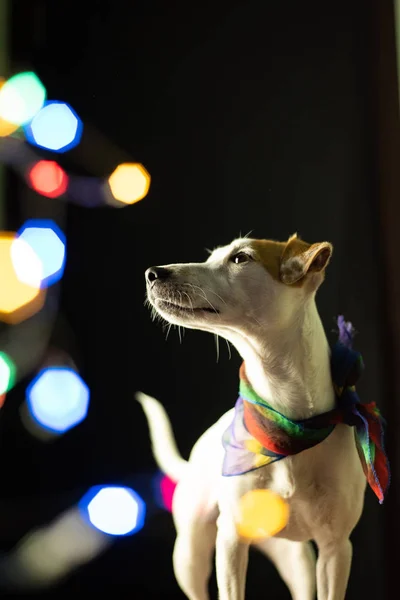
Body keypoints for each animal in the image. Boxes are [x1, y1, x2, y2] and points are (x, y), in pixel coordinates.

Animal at [136, 234, 390, 600]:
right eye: (213, 257)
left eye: (240, 258)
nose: (152, 273)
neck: (287, 419)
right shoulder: (230, 540)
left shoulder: (335, 549)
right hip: (189, 556)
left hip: (297, 560)